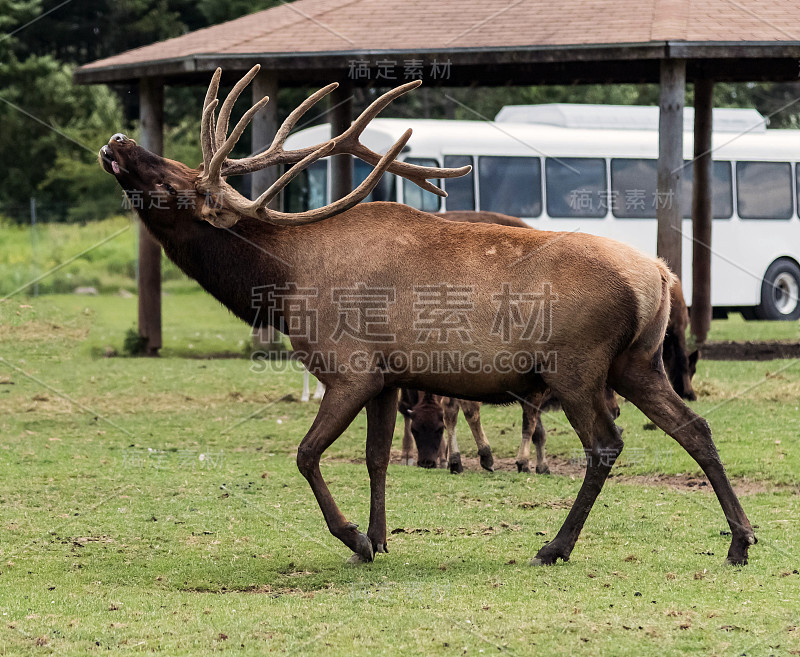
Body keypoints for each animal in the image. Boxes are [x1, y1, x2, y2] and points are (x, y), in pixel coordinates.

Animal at [100, 68, 756, 568]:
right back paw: (741, 541)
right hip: (638, 363)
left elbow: (307, 454)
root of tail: (662, 278)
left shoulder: (351, 367)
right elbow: (376, 458)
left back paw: (555, 546)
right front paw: (380, 538)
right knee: (695, 428)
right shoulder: (389, 377)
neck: (282, 285)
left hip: (578, 366)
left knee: (607, 444)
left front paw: (354, 538)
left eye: (178, 183)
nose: (119, 141)